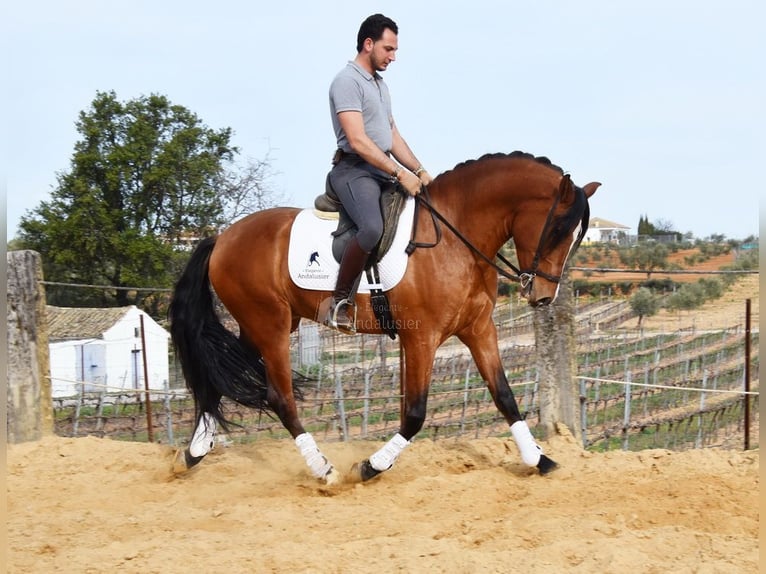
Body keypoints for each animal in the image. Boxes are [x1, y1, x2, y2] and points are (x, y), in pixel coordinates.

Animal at [169, 151, 599, 485]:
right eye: (557, 231)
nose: (542, 296)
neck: (455, 238)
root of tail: (222, 238)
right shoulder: (421, 338)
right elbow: (415, 413)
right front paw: (372, 466)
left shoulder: (478, 330)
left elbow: (505, 396)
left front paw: (539, 459)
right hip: (270, 324)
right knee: (280, 397)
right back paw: (323, 469)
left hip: (264, 323)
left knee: (218, 378)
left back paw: (194, 452)